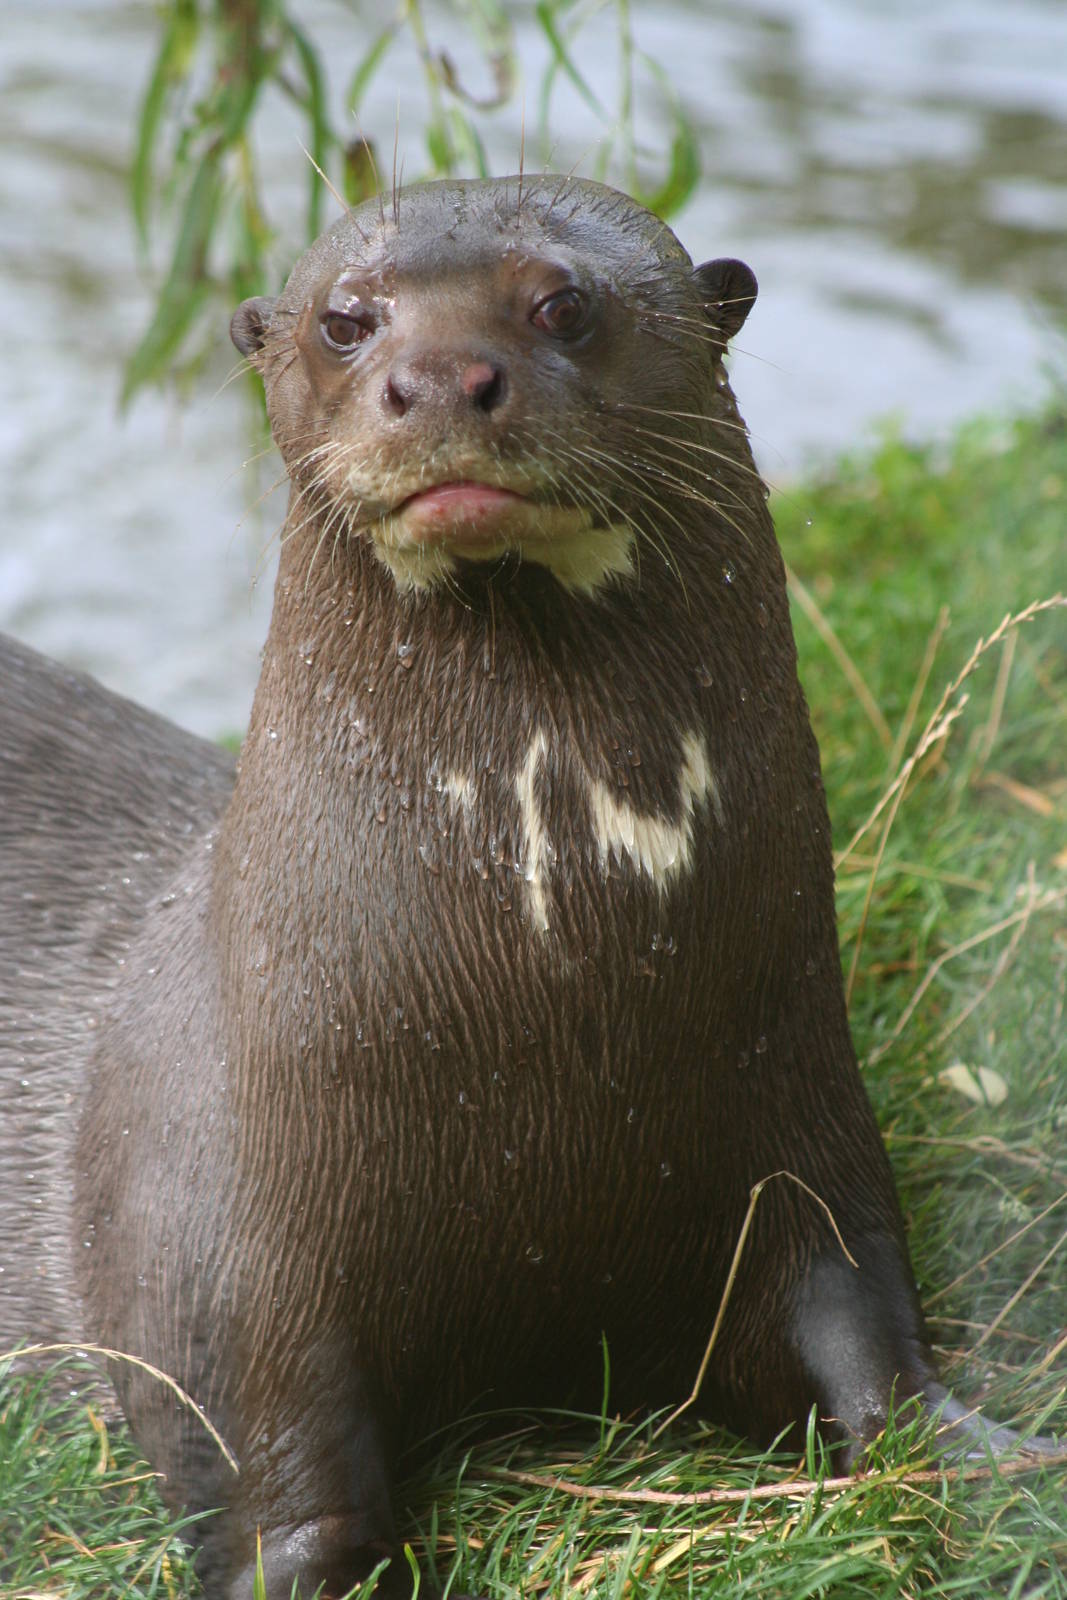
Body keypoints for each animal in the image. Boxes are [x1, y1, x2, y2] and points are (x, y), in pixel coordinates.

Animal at [0, 176, 1052, 1599]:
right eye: (344, 320)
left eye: (564, 300)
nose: (440, 377)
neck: (540, 1012)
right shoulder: (225, 1260)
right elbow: (287, 1485)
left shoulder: (797, 1115)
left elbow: (867, 1343)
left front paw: (990, 1457)